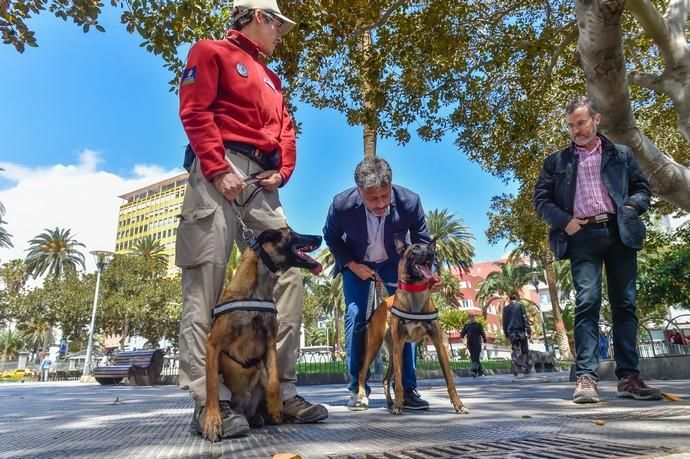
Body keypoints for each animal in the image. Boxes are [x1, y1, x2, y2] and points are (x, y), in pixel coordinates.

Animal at [200, 228, 322, 444]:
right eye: (291, 233)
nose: (320, 236)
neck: (256, 292)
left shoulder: (270, 343)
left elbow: (274, 381)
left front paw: (276, 407)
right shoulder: (213, 346)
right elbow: (213, 388)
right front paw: (213, 421)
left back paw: (263, 416)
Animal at [354, 239, 468, 416]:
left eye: (429, 247)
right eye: (415, 249)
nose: (431, 254)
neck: (415, 290)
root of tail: (380, 305)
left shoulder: (438, 345)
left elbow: (450, 381)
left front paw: (459, 405)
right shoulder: (399, 345)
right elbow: (399, 384)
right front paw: (398, 406)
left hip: (393, 352)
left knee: (386, 379)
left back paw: (390, 402)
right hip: (375, 346)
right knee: (362, 372)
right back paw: (362, 397)